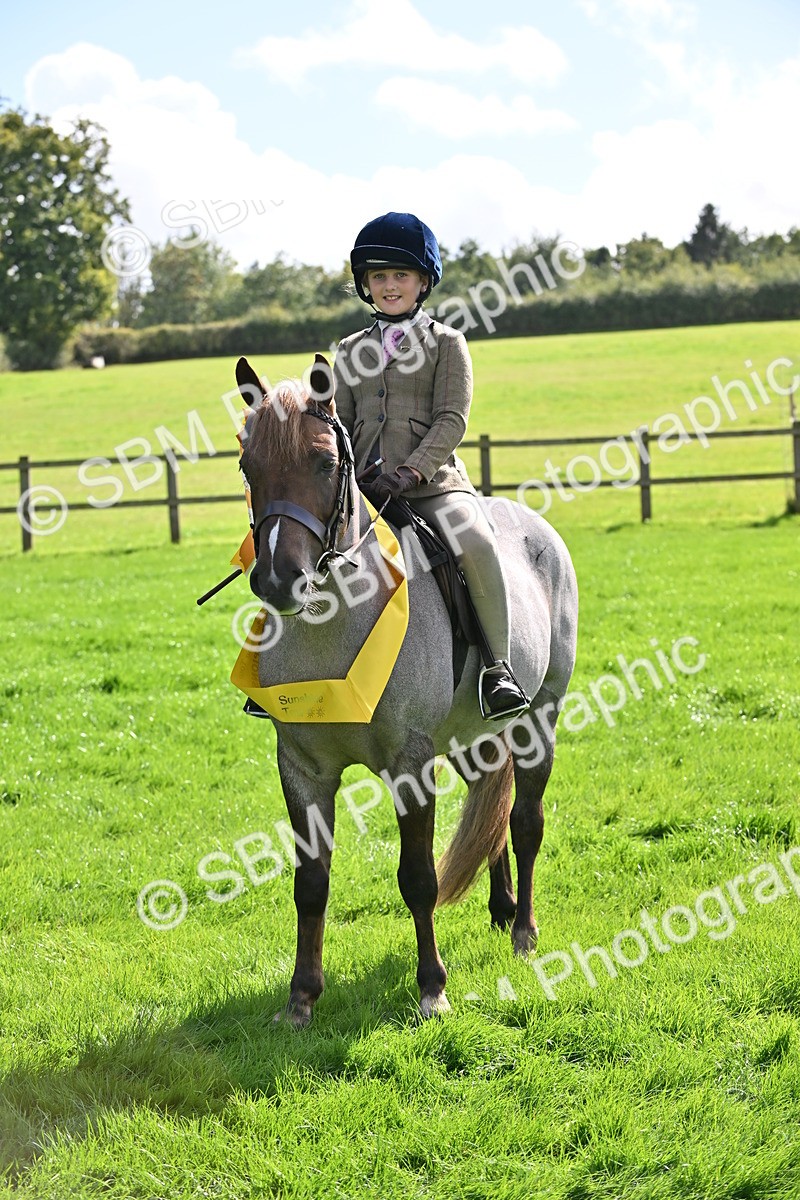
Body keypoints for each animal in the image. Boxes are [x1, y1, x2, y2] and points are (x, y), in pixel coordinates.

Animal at [233, 354, 578, 1026]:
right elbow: (310, 882)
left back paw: (524, 930)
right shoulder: (302, 768)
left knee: (525, 821)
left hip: (537, 722)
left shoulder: (411, 763)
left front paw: (432, 988)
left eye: (325, 463)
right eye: (247, 467)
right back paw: (501, 911)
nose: (280, 579)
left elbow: (417, 877)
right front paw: (301, 997)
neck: (333, 625)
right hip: (474, 740)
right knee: (492, 815)